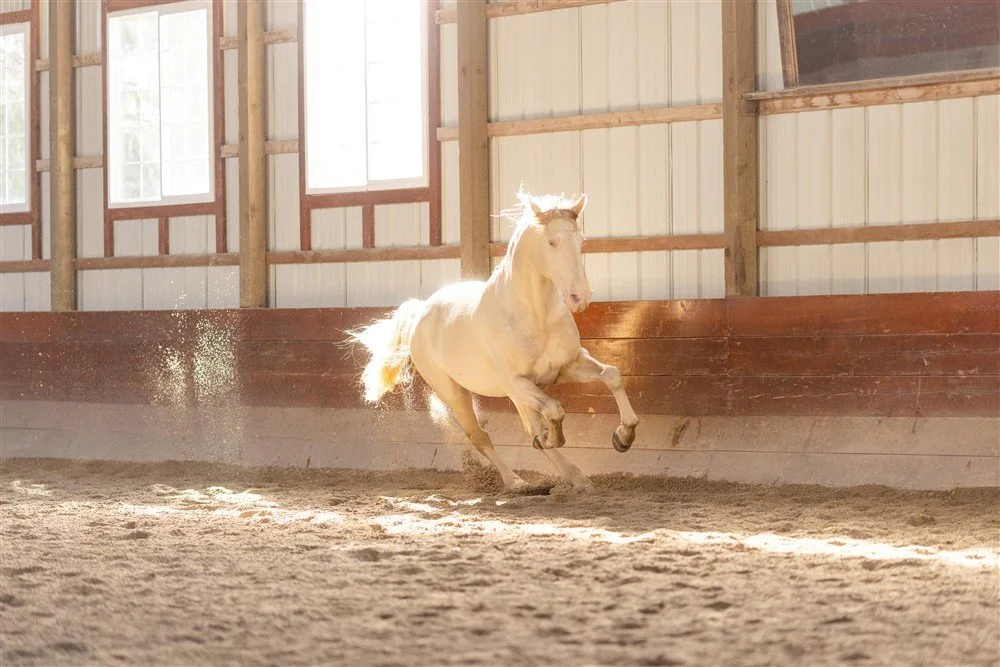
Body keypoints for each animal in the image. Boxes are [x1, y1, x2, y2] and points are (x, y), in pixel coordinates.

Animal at [348, 192, 639, 493]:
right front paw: (551, 438)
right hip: (455, 393)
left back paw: (577, 479)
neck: (534, 316)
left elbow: (612, 375)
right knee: (481, 436)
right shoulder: (516, 382)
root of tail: (422, 311)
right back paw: (518, 481)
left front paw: (623, 437)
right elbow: (554, 411)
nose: (580, 297)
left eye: (581, 241)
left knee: (529, 427)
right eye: (552, 242)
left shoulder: (568, 365)